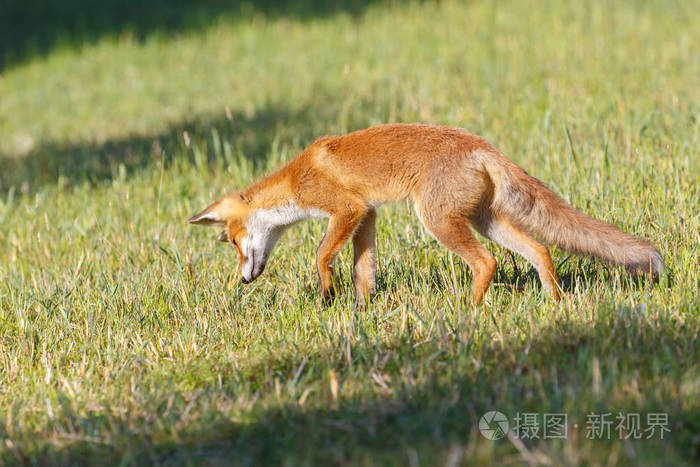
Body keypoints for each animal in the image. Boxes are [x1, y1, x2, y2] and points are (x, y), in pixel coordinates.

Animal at [189, 124, 664, 306]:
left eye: (233, 242)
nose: (243, 280)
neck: (294, 180)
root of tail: (481, 146)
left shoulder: (347, 208)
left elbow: (322, 255)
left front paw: (327, 293)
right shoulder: (367, 216)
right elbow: (364, 271)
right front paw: (362, 311)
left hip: (438, 223)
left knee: (486, 263)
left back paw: (470, 311)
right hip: (485, 221)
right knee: (539, 250)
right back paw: (555, 302)